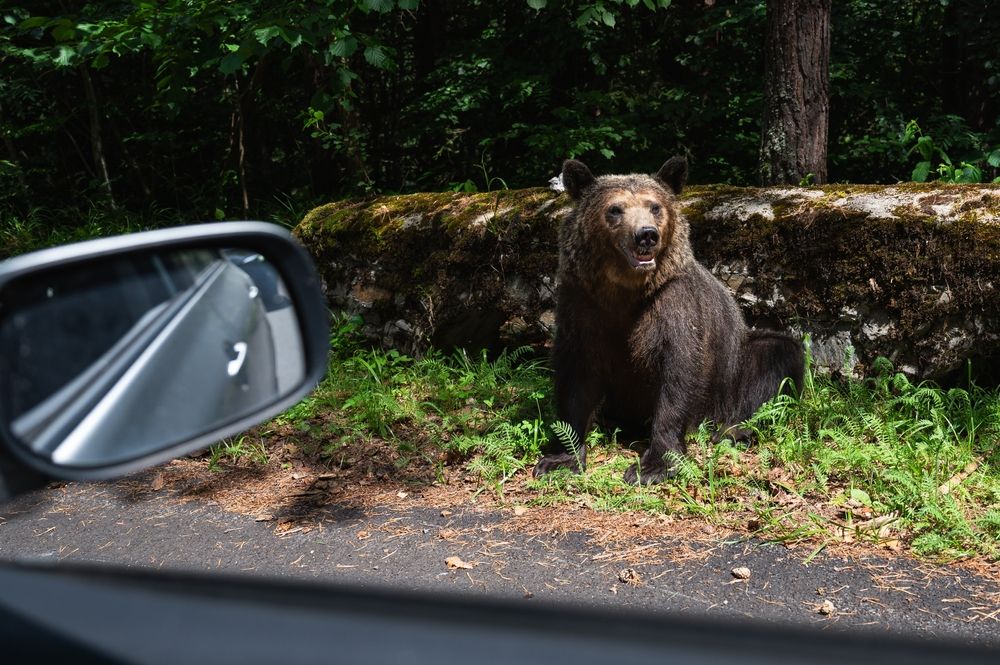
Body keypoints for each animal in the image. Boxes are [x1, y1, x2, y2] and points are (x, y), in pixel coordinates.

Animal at [532, 158, 804, 486]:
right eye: (615, 209)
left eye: (655, 206)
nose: (646, 235)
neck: (625, 291)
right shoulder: (583, 303)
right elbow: (577, 375)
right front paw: (560, 458)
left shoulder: (673, 302)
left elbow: (678, 371)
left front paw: (653, 465)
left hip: (731, 373)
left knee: (775, 354)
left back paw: (734, 431)